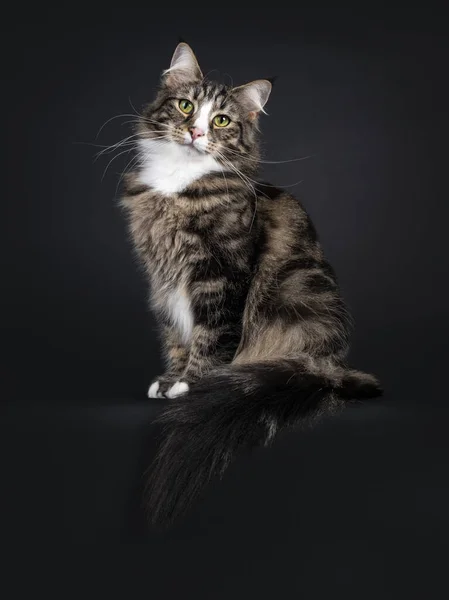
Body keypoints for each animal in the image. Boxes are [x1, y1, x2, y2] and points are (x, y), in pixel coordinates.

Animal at [120, 42, 382, 524]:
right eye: (186, 106)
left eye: (222, 120)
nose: (195, 132)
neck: (177, 187)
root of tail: (330, 367)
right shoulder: (163, 280)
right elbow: (176, 337)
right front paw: (171, 380)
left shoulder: (221, 275)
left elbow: (211, 335)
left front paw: (193, 385)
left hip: (299, 291)